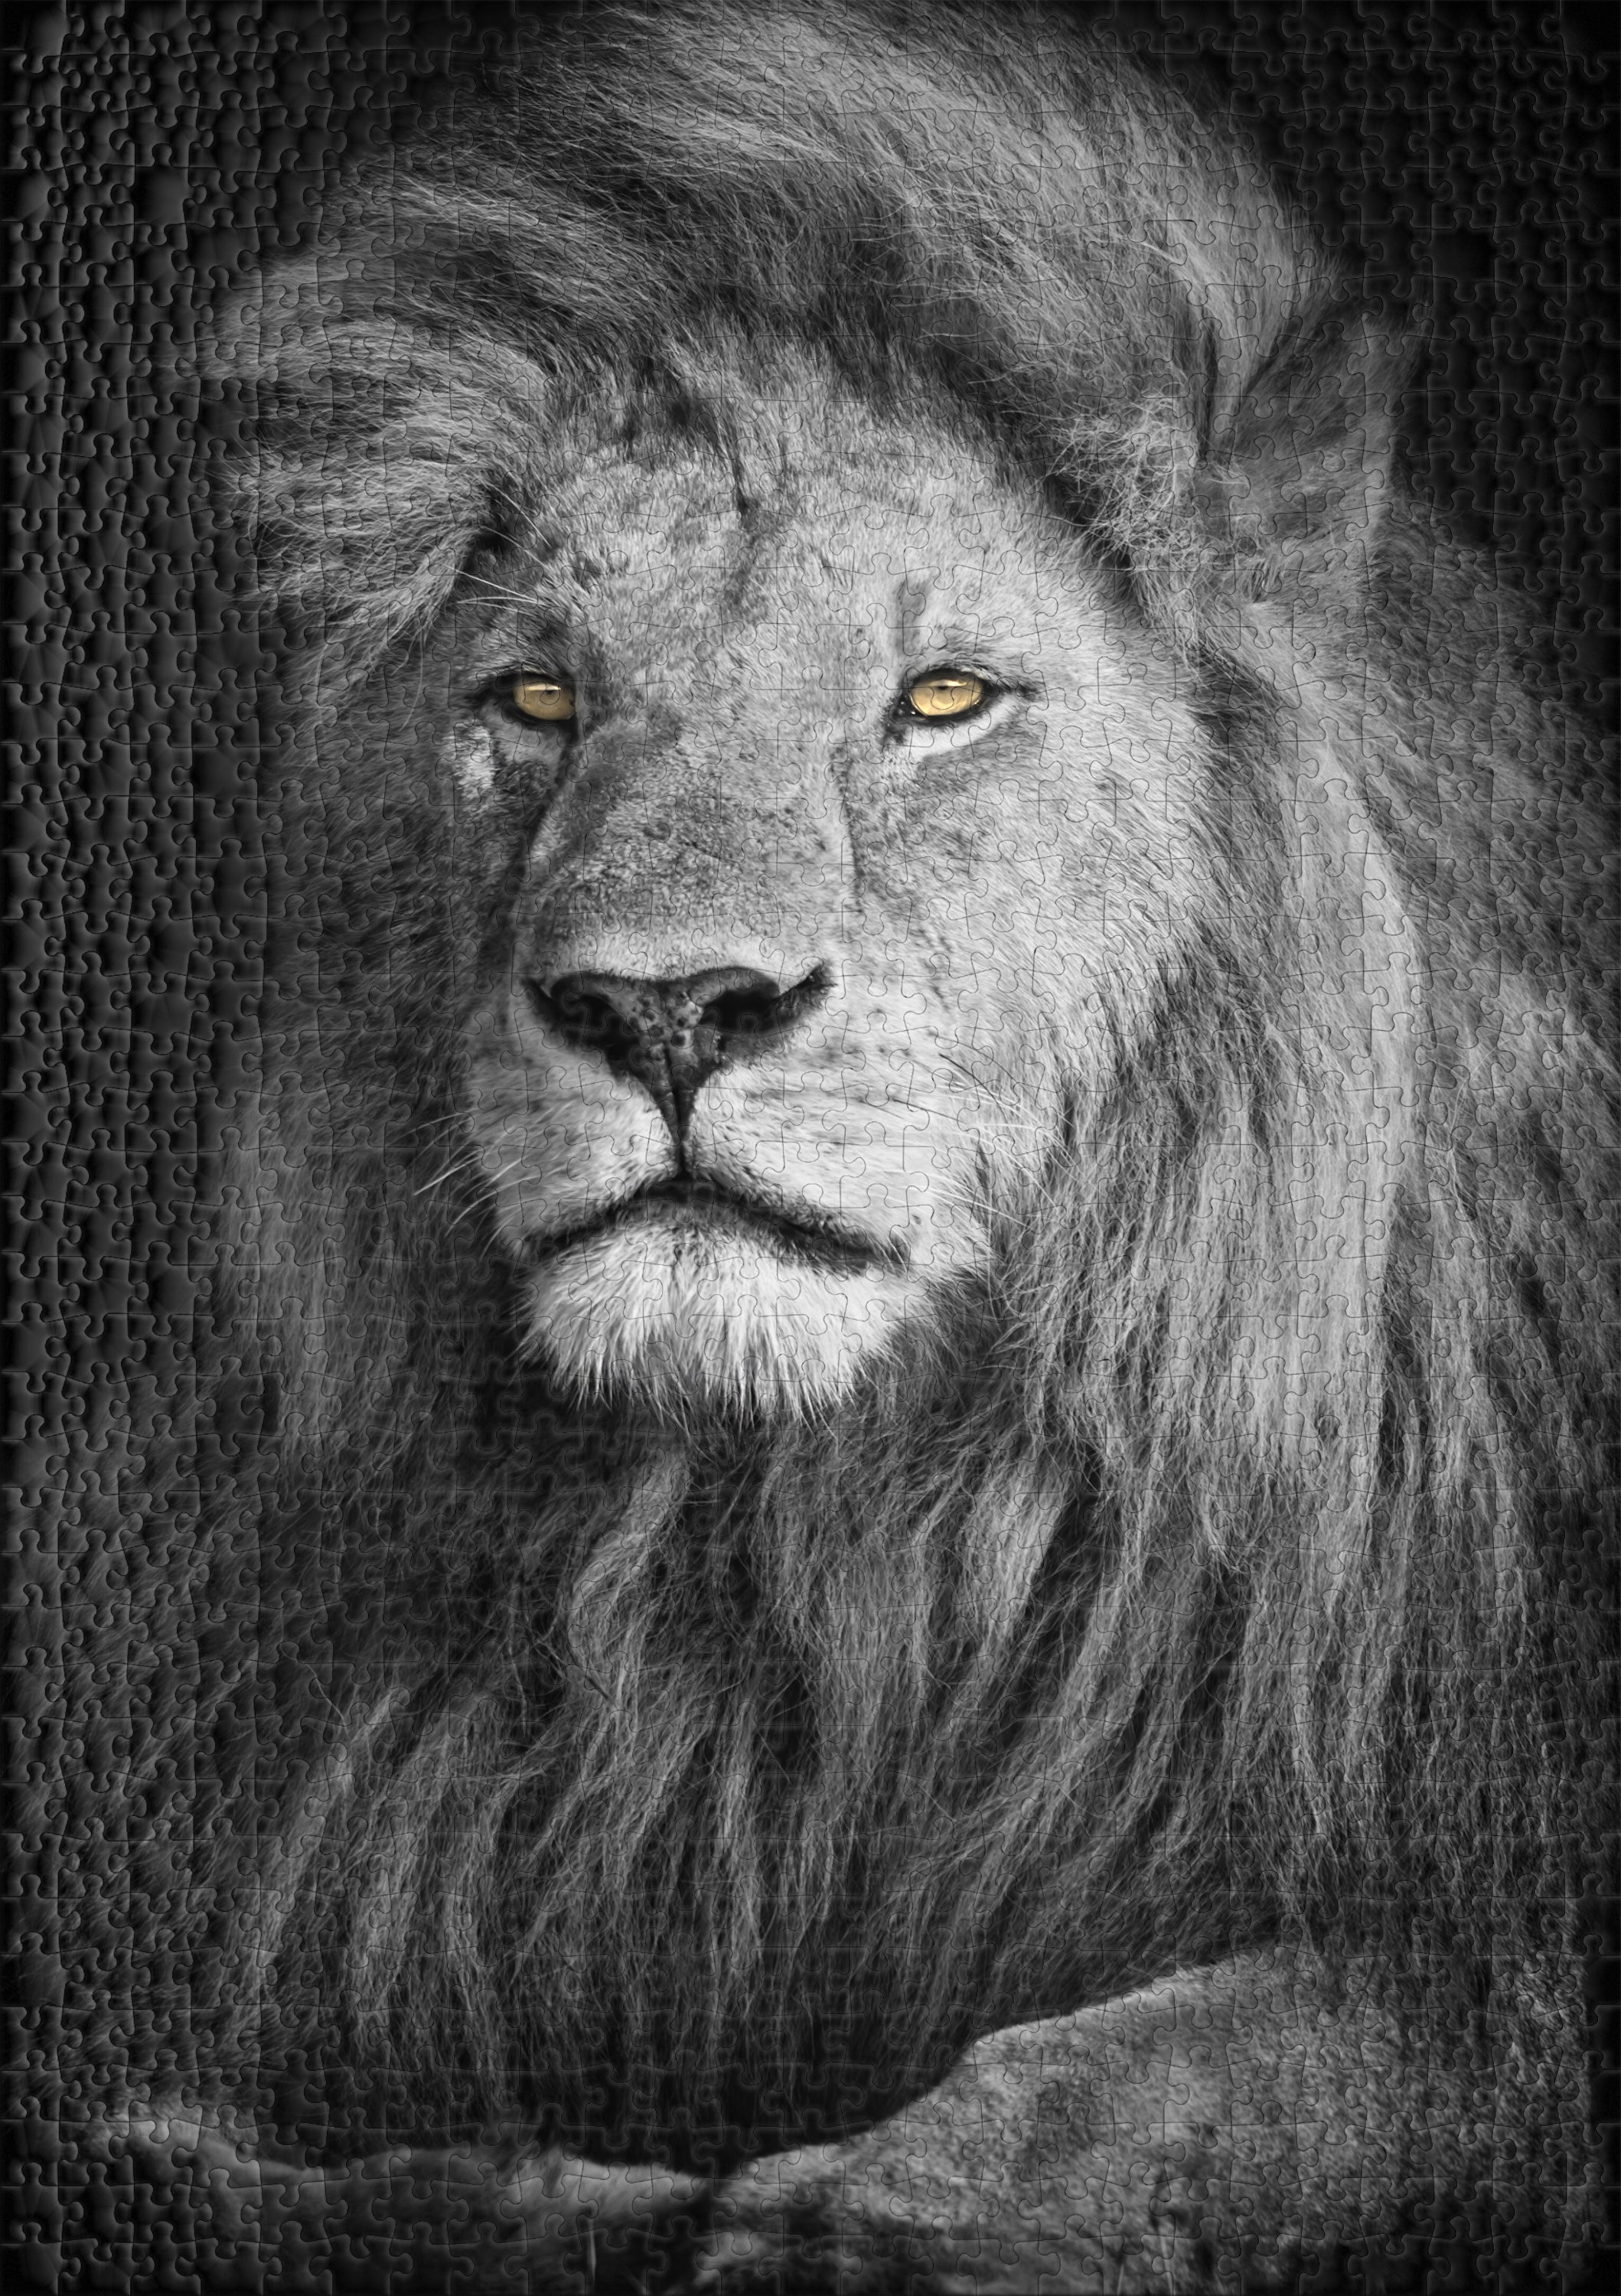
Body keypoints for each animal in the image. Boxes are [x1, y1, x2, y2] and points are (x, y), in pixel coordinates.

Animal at [19, 1, 1616, 2289]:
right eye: (536, 699)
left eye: (939, 699)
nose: (666, 1008)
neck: (801, 1569)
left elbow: (1312, 2045)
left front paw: (870, 2213)